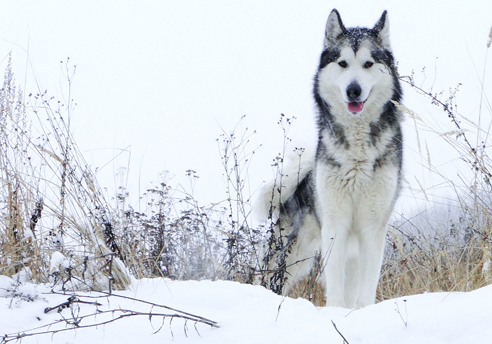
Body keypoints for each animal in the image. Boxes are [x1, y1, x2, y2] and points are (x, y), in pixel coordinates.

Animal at [256, 9, 402, 308]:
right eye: (343, 63)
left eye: (368, 64)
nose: (353, 90)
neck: (357, 154)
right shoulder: (336, 224)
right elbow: (335, 285)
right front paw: (336, 312)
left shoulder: (372, 227)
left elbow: (366, 287)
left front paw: (361, 312)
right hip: (294, 250)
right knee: (270, 278)